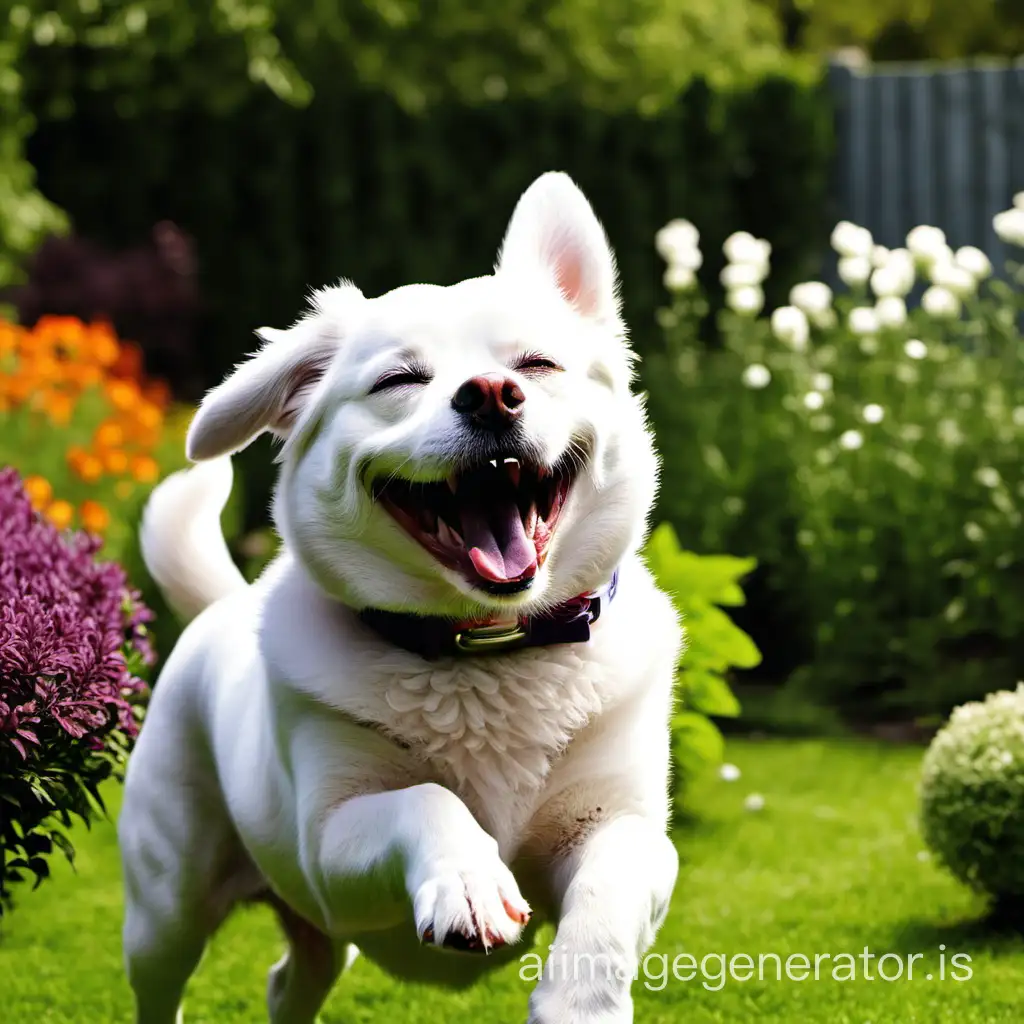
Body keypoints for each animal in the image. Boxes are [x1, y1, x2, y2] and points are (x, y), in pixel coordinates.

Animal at [117, 172, 679, 1019]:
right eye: (400, 381)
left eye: (538, 365)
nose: (491, 394)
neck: (487, 648)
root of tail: (220, 605)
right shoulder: (332, 846)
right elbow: (425, 799)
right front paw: (468, 881)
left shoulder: (625, 827)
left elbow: (608, 896)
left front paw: (580, 1000)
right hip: (165, 914)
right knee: (164, 981)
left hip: (312, 938)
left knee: (289, 980)